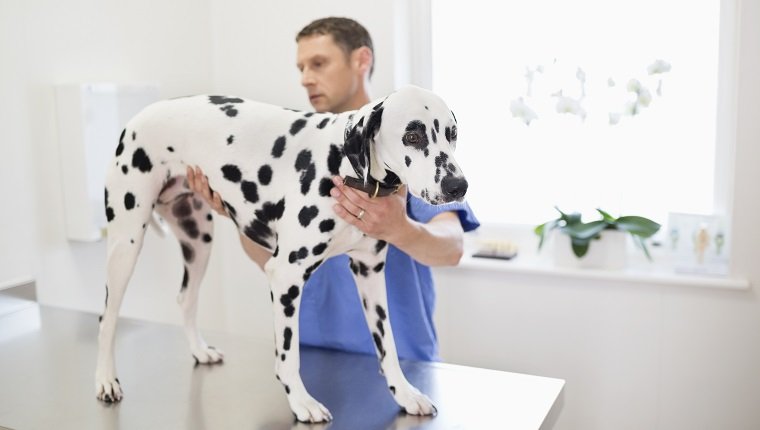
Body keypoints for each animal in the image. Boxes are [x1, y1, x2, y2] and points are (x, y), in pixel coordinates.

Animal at [96, 85, 470, 424]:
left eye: (452, 134)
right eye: (412, 136)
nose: (458, 186)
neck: (342, 165)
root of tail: (141, 116)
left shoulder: (370, 272)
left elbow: (388, 345)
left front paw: (405, 394)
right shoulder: (286, 276)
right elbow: (289, 355)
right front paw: (301, 402)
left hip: (198, 239)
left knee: (185, 298)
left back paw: (199, 351)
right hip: (126, 244)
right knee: (107, 318)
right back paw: (106, 380)